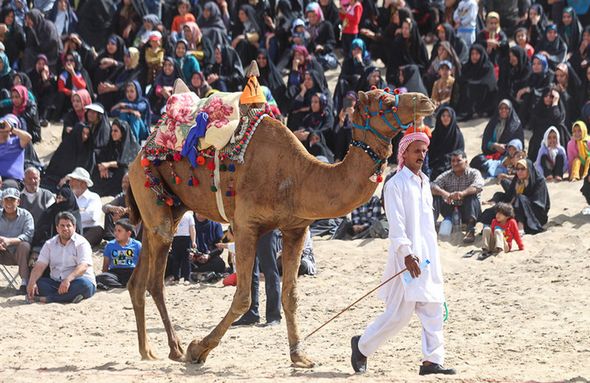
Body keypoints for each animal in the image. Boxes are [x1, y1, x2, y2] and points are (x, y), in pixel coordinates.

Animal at [127, 85, 438, 368]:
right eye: (386, 102)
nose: (426, 100)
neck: (298, 176)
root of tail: (138, 154)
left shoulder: (296, 229)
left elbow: (290, 294)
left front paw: (300, 356)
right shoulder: (245, 225)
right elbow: (243, 296)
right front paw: (197, 350)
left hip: (171, 207)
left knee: (138, 279)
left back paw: (147, 351)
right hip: (151, 192)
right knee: (156, 281)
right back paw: (176, 349)